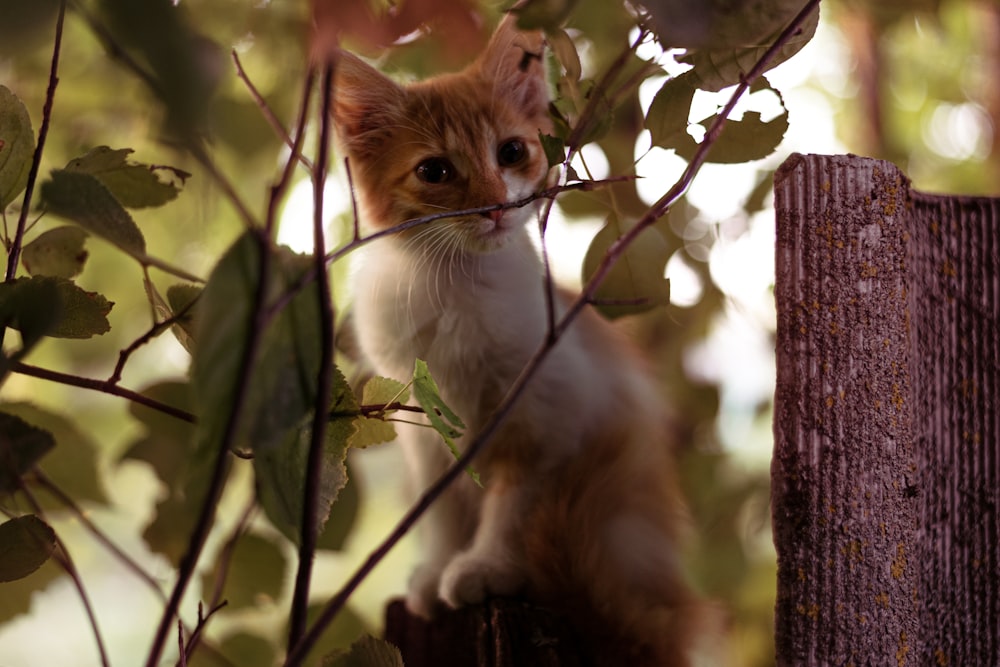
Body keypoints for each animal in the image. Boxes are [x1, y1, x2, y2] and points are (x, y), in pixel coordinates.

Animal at [332, 13, 700, 664]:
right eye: (435, 171)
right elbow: (441, 509)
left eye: (511, 153)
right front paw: (437, 569)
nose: (496, 208)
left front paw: (486, 566)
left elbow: (511, 503)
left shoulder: (549, 411)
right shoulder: (427, 429)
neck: (457, 286)